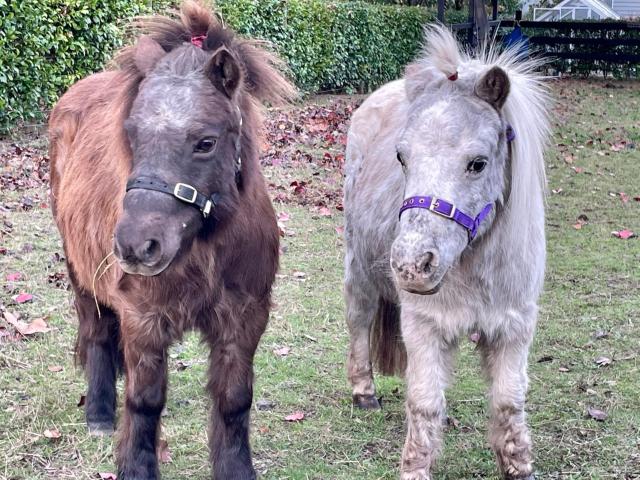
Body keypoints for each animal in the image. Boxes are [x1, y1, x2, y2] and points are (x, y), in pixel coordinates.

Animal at [49, 1, 296, 478]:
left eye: (205, 142)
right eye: (130, 134)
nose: (135, 246)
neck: (205, 249)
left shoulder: (245, 318)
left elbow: (234, 399)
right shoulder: (142, 319)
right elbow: (144, 403)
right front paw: (135, 467)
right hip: (78, 270)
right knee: (96, 332)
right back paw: (100, 414)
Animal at [344, 27, 552, 480]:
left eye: (478, 163)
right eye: (401, 157)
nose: (411, 265)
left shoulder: (514, 328)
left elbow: (508, 402)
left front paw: (518, 465)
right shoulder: (425, 324)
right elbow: (424, 404)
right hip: (358, 269)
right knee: (359, 321)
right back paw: (364, 392)